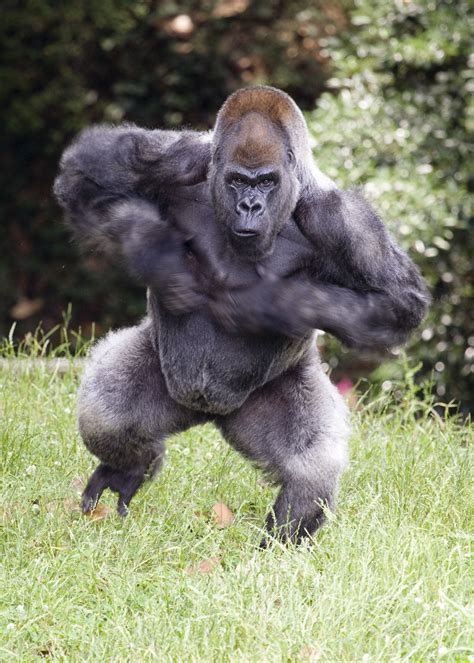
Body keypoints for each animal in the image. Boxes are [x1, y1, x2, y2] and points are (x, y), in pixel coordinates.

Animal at [54, 86, 429, 544]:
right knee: (107, 416)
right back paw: (131, 465)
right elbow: (86, 173)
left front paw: (267, 302)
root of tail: (207, 414)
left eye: (266, 181)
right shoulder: (179, 160)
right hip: (166, 378)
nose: (250, 206)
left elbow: (397, 302)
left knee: (310, 471)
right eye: (237, 181)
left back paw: (279, 545)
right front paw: (159, 252)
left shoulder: (344, 220)